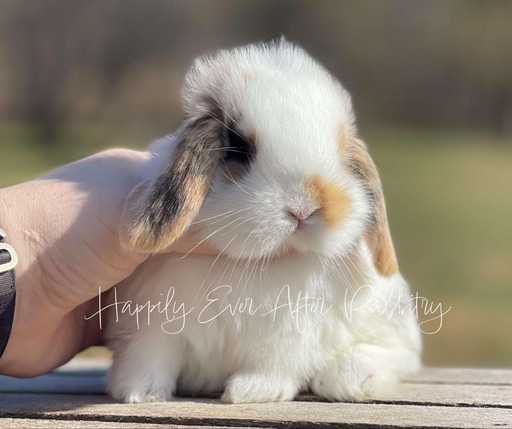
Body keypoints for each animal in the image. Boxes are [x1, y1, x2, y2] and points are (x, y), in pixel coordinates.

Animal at [104, 38, 420, 402]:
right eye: (239, 147)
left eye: (341, 151)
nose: (303, 208)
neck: (248, 264)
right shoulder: (152, 322)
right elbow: (149, 357)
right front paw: (139, 393)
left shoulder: (288, 332)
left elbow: (271, 363)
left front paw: (249, 391)